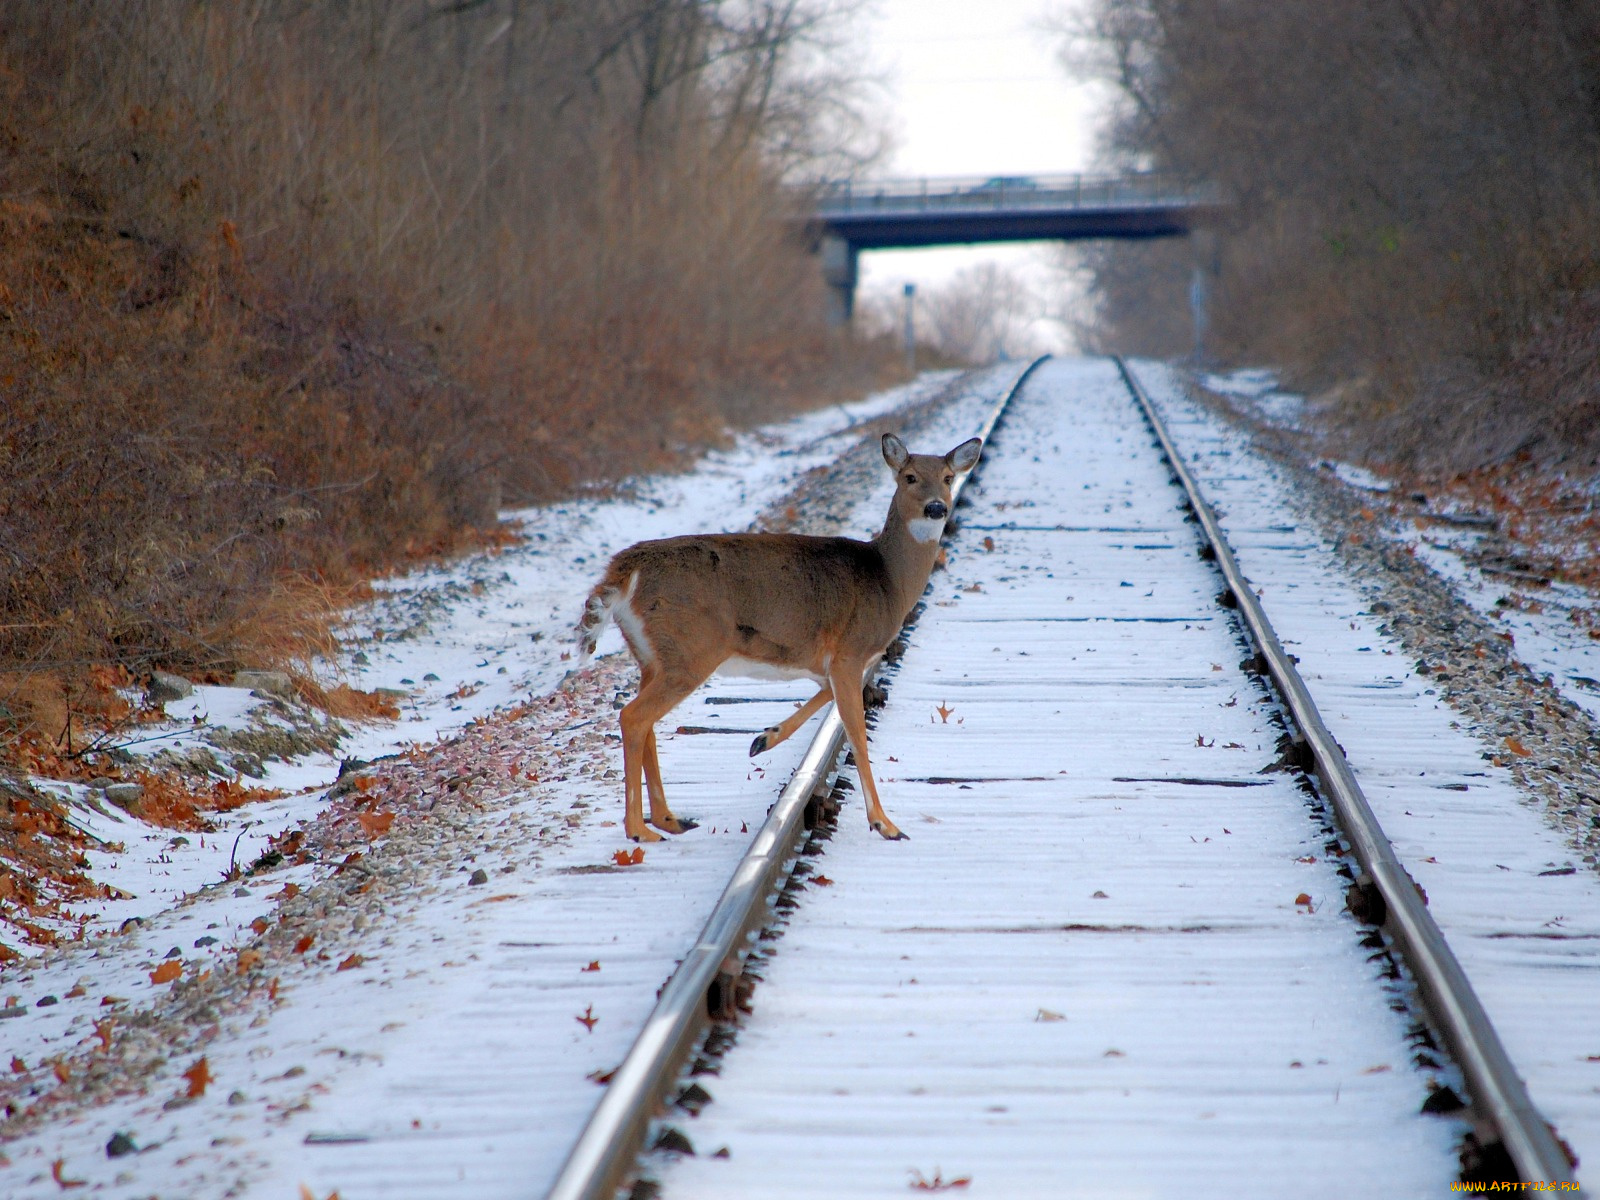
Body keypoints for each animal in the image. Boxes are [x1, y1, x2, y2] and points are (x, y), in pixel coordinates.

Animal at [569, 435, 979, 844]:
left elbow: (825, 698)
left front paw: (763, 739)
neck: (887, 580)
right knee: (634, 716)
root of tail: (624, 572)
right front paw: (884, 823)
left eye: (947, 477)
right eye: (909, 477)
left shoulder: (827, 662)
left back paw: (668, 818)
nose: (937, 507)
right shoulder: (851, 650)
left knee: (646, 721)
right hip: (690, 650)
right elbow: (857, 734)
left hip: (653, 656)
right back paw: (639, 829)